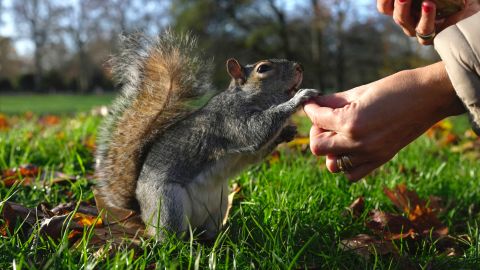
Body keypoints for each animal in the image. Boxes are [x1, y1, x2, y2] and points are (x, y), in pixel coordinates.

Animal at [94, 31, 320, 240]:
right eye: (263, 68)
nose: (299, 67)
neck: (250, 98)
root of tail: (142, 211)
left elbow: (256, 152)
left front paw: (287, 132)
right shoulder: (230, 120)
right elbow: (256, 131)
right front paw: (298, 99)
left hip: (219, 204)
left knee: (207, 230)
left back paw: (218, 238)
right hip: (167, 203)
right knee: (170, 235)